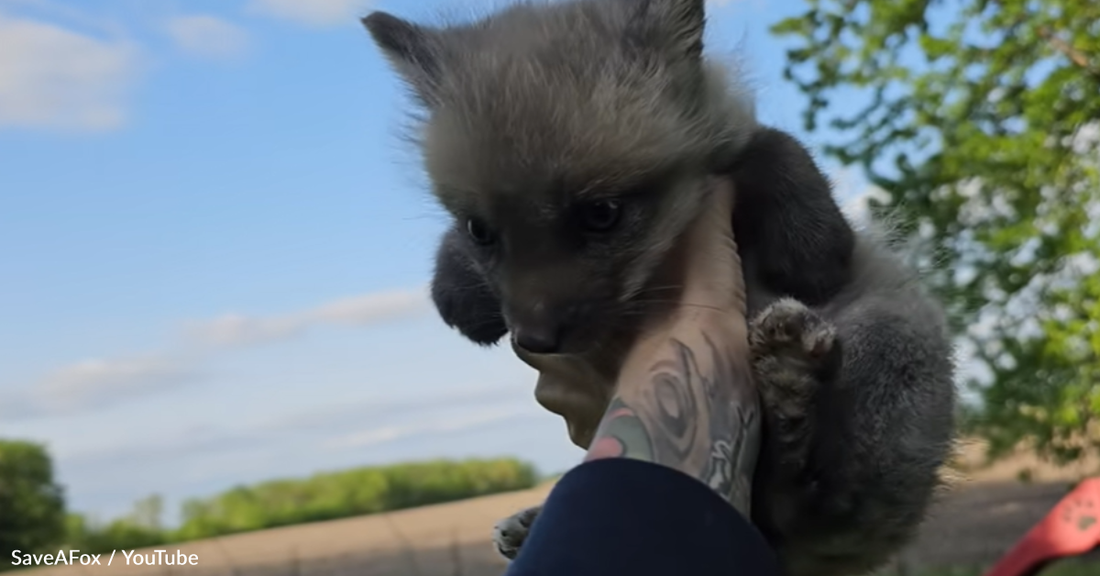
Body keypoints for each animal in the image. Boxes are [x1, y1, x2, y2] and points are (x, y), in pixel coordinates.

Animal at [362, 0, 957, 575]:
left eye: (602, 214)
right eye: (480, 230)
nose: (534, 338)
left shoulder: (734, 145)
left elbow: (774, 148)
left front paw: (812, 248)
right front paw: (455, 291)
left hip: (892, 335)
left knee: (803, 498)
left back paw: (790, 389)